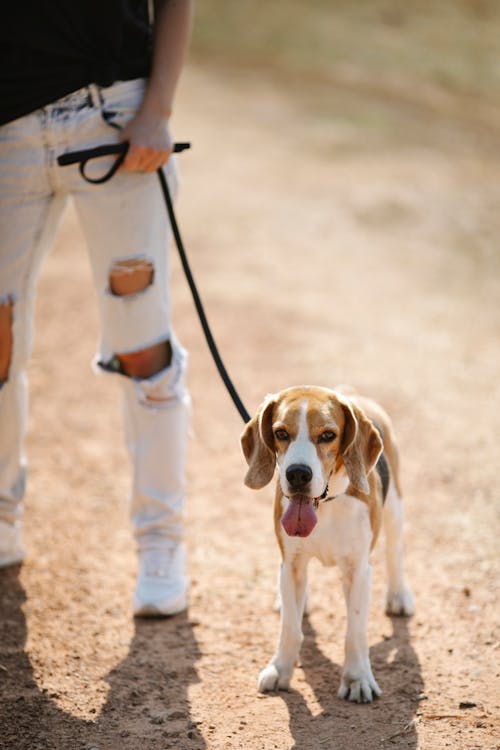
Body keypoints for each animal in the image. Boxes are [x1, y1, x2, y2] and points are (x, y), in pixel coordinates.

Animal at [240, 388, 412, 704]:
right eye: (281, 433)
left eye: (328, 435)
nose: (297, 474)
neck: (328, 504)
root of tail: (351, 393)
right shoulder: (291, 564)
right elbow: (290, 628)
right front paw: (280, 669)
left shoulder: (359, 571)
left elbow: (355, 632)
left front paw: (357, 678)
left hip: (395, 507)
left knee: (395, 551)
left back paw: (399, 596)